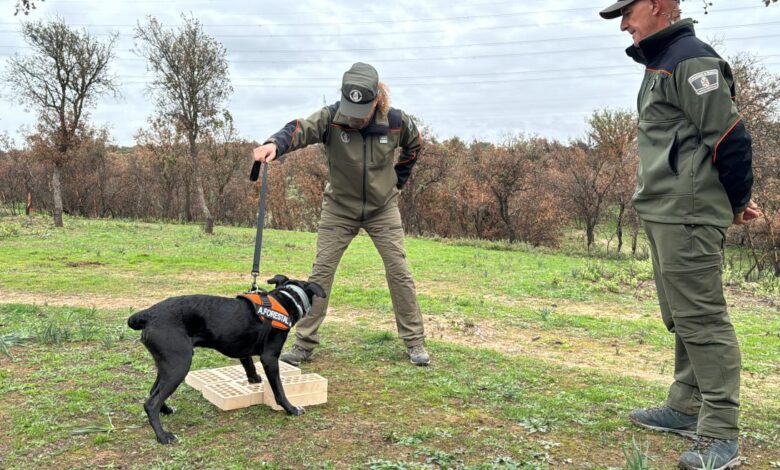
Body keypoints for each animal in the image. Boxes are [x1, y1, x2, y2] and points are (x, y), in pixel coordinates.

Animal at [129, 274, 324, 442]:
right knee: (151, 403)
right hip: (179, 365)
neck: (286, 298)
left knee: (153, 392)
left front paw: (254, 380)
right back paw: (163, 436)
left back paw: (167, 410)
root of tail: (148, 315)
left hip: (167, 365)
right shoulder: (269, 358)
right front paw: (291, 409)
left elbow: (250, 366)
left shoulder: (244, 352)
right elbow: (279, 390)